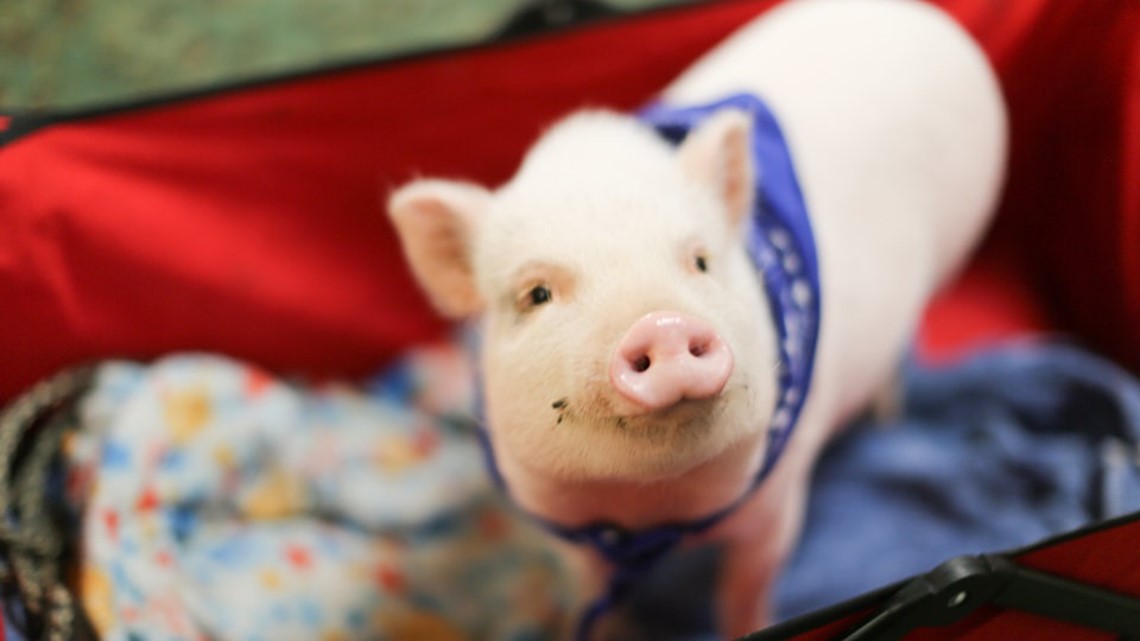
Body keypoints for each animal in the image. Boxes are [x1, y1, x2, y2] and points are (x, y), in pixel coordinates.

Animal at [385, 0, 1007, 629]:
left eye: (701, 261)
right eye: (536, 294)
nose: (662, 324)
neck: (656, 514)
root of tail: (924, 17)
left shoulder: (777, 503)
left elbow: (747, 589)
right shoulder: (559, 523)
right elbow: (593, 600)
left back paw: (886, 416)